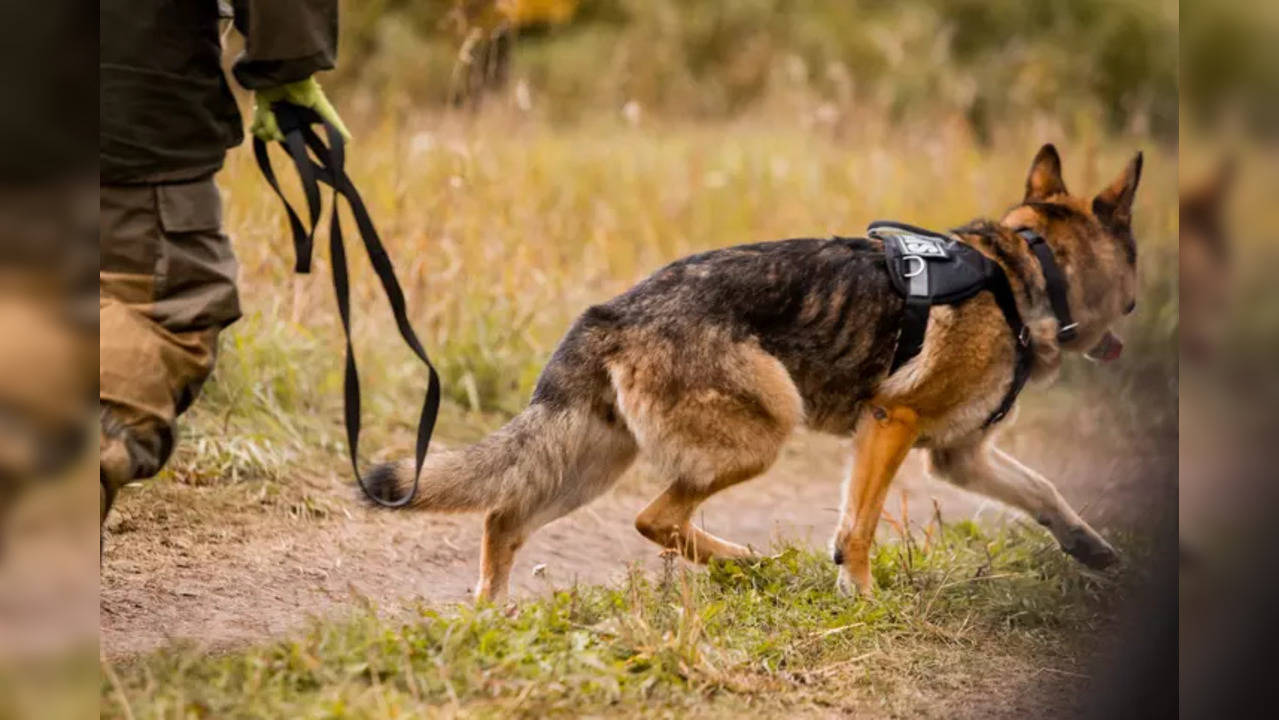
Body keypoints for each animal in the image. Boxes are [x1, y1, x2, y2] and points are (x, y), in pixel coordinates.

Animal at [368, 143, 1140, 601]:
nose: (1131, 318)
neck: (1028, 265)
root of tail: (611, 312)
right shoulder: (891, 422)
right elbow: (858, 531)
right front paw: (862, 601)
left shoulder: (960, 456)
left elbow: (1044, 492)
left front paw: (1095, 552)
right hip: (761, 435)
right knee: (653, 518)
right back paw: (745, 562)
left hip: (591, 465)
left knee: (504, 516)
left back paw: (491, 615)